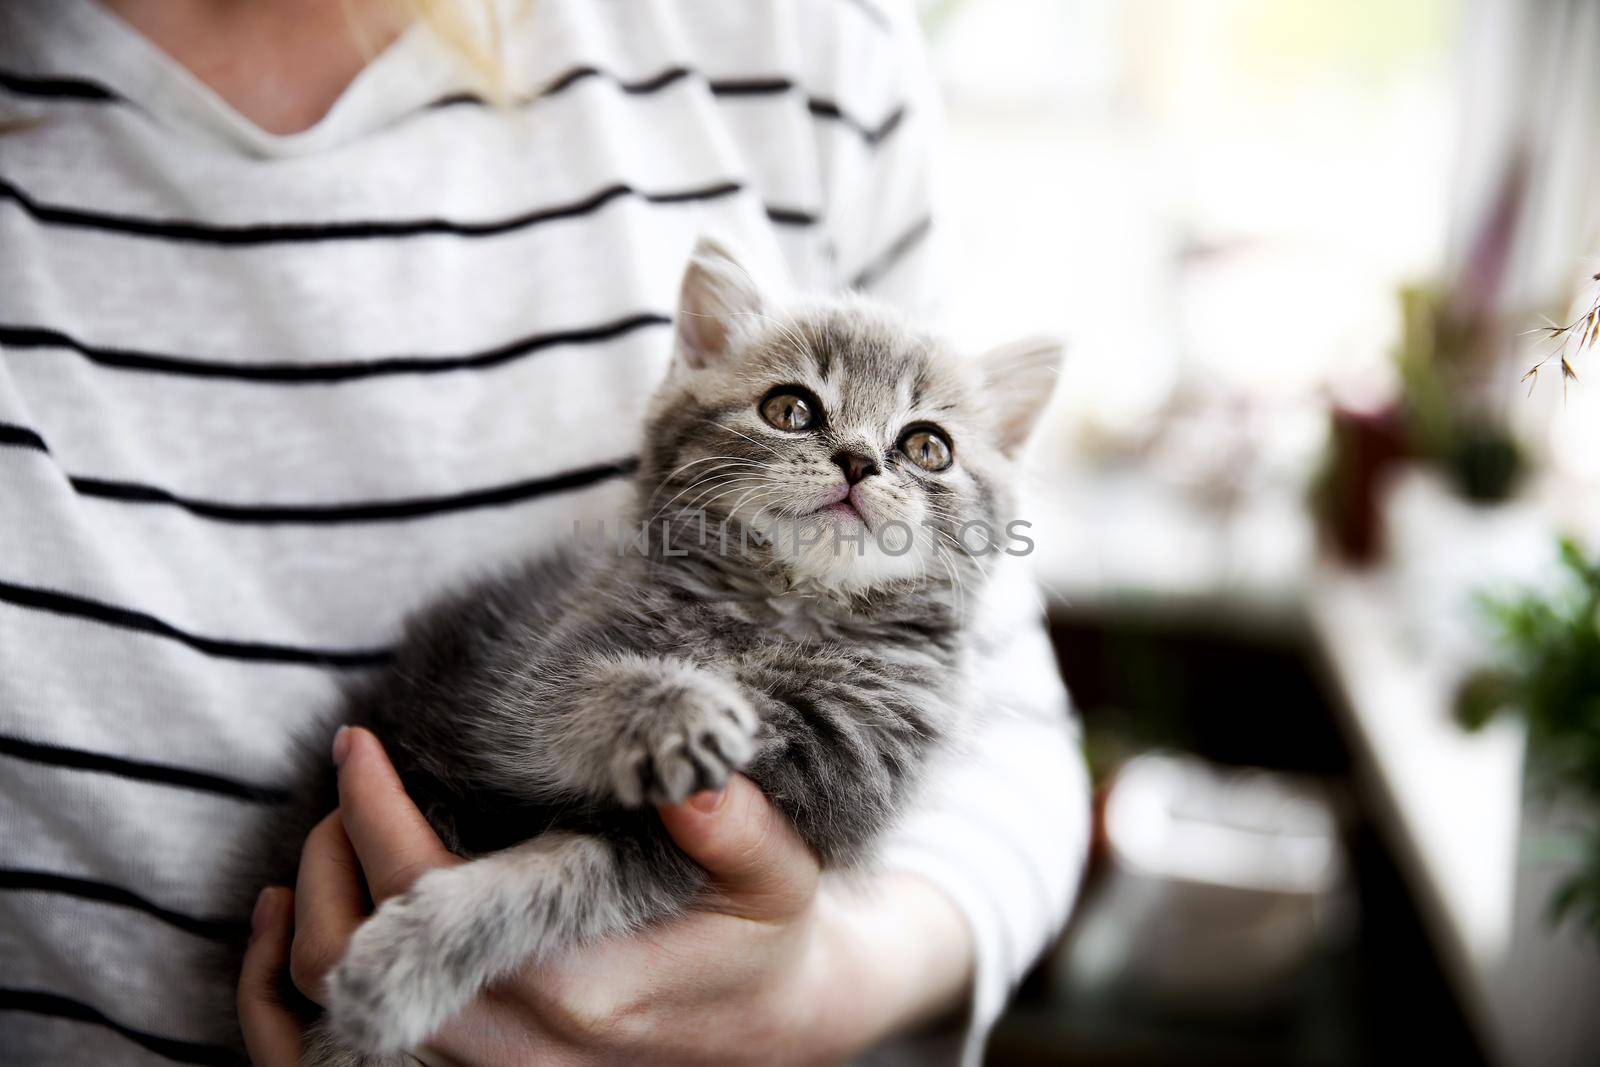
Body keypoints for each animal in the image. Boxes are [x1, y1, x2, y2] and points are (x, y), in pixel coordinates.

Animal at [233, 238, 1062, 1062]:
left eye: (926, 446)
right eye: (791, 409)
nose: (859, 460)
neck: (783, 618)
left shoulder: (774, 811)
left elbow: (545, 883)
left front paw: (401, 970)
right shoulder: (516, 686)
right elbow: (579, 697)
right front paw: (680, 711)